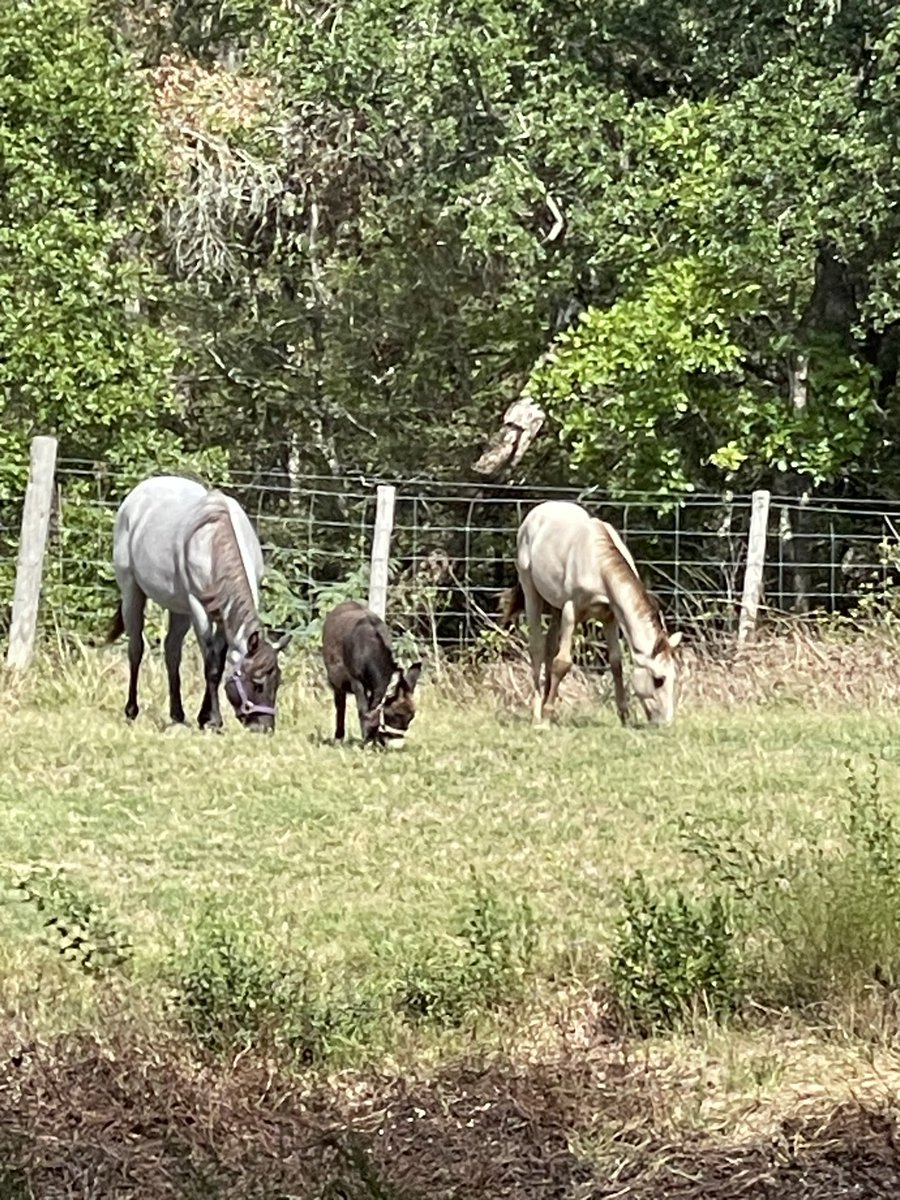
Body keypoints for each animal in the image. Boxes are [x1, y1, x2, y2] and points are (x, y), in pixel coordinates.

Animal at [108, 475, 290, 732]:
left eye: (278, 681)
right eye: (257, 682)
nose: (264, 727)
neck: (214, 542)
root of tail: (137, 494)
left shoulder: (223, 616)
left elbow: (219, 662)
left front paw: (205, 717)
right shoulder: (199, 610)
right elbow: (211, 665)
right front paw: (213, 720)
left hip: (179, 608)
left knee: (172, 651)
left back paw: (177, 714)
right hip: (132, 592)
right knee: (136, 649)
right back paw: (132, 710)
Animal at [322, 600, 422, 745]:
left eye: (411, 717)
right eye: (395, 715)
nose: (397, 745)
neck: (369, 650)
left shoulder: (374, 687)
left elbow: (372, 708)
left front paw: (372, 738)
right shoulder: (356, 682)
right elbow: (363, 709)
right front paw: (367, 740)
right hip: (337, 682)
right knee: (340, 706)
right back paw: (339, 737)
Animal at [501, 500, 682, 726]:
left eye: (674, 676)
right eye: (659, 680)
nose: (665, 722)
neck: (598, 562)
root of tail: (535, 513)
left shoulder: (610, 617)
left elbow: (615, 662)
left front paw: (624, 717)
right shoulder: (571, 611)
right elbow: (562, 663)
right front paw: (546, 718)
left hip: (556, 606)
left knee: (550, 647)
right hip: (531, 591)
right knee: (536, 648)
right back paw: (537, 715)